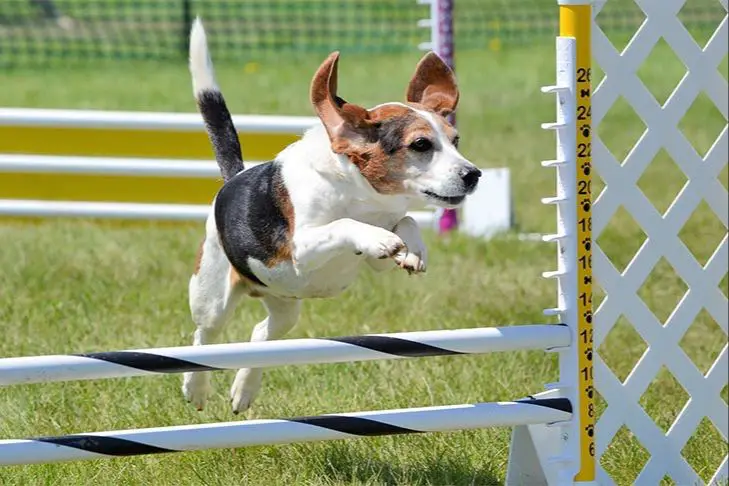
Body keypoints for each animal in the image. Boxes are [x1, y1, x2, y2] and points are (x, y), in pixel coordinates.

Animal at [183, 19, 478, 414]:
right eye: (420, 145)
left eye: (455, 140)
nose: (473, 175)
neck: (359, 194)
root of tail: (233, 179)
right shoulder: (301, 248)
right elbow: (345, 225)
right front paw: (377, 236)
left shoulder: (378, 256)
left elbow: (406, 222)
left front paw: (413, 250)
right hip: (212, 295)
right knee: (204, 336)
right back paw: (195, 388)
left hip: (284, 306)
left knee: (260, 335)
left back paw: (244, 390)